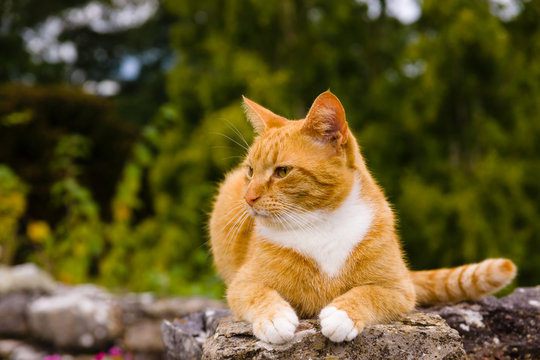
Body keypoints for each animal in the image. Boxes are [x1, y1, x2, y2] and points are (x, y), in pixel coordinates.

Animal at [209, 90, 516, 344]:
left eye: (282, 172)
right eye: (250, 170)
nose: (248, 198)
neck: (320, 222)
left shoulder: (398, 288)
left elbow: (367, 293)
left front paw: (342, 314)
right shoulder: (242, 284)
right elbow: (259, 294)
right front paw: (275, 318)